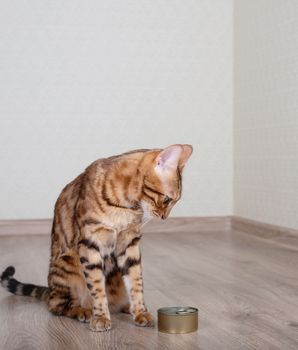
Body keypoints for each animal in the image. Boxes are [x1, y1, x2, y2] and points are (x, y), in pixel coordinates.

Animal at [0, 144, 193, 332]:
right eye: (167, 199)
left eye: (174, 201)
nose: (164, 218)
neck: (125, 206)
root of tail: (50, 291)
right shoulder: (90, 242)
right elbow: (96, 286)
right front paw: (100, 317)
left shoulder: (129, 244)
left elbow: (136, 282)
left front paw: (140, 312)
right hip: (66, 265)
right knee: (56, 306)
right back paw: (84, 310)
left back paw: (126, 307)